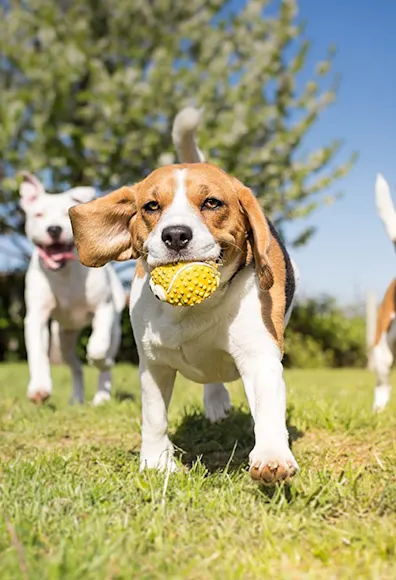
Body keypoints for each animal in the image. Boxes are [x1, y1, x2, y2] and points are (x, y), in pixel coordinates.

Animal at [20, 174, 124, 406]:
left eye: (65, 214)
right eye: (38, 214)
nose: (54, 229)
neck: (64, 272)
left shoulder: (103, 309)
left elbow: (97, 348)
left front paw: (100, 360)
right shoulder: (36, 317)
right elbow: (37, 353)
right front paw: (39, 388)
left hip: (114, 329)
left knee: (105, 359)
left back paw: (102, 396)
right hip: (63, 339)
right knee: (75, 366)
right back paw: (76, 398)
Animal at [69, 109, 300, 484]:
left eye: (212, 203)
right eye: (151, 206)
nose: (175, 235)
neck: (192, 311)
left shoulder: (259, 356)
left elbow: (267, 410)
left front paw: (271, 457)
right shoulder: (153, 365)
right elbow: (154, 418)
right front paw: (155, 463)